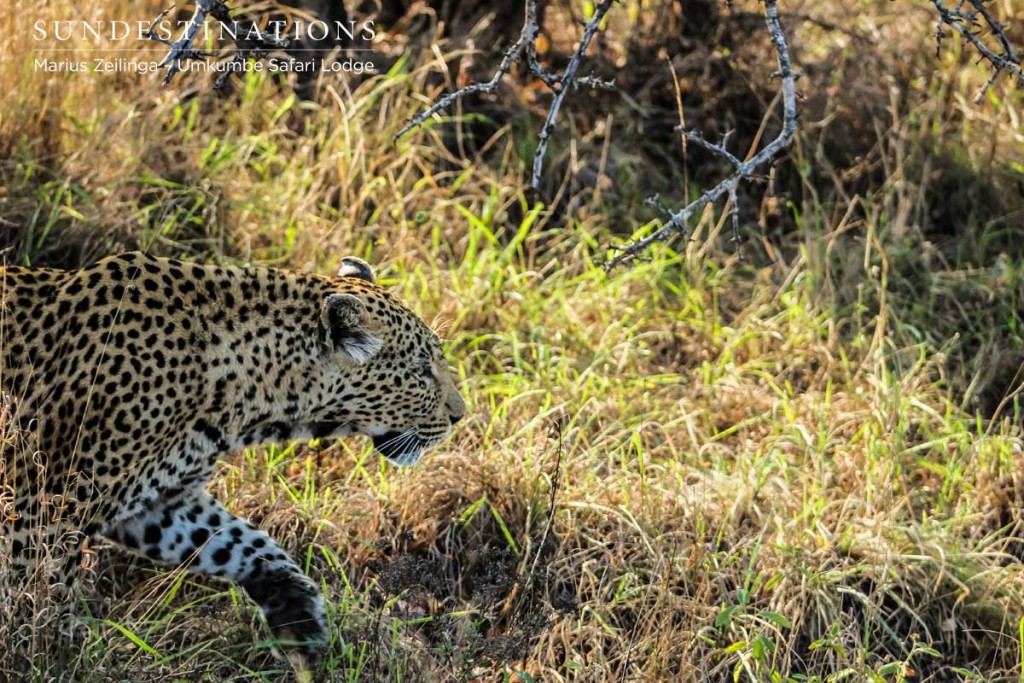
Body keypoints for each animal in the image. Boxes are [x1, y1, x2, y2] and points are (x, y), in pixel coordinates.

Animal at [0, 249, 464, 667]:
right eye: (422, 370)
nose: (460, 415)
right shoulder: (43, 507)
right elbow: (36, 597)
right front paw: (44, 659)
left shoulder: (162, 503)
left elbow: (242, 543)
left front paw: (297, 612)